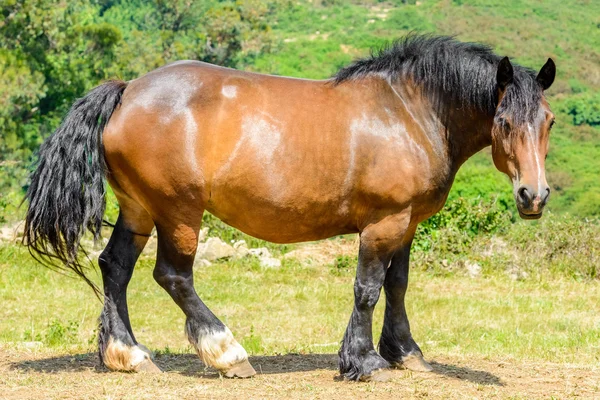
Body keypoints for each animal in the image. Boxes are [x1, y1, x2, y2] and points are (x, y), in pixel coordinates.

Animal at [24, 35, 556, 382]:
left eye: (547, 121)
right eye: (504, 122)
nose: (534, 196)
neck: (407, 112)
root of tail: (127, 90)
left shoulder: (406, 223)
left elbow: (397, 285)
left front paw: (405, 353)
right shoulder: (383, 222)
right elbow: (368, 288)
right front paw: (363, 362)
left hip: (138, 209)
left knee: (114, 267)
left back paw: (128, 355)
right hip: (178, 212)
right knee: (173, 276)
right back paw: (227, 353)